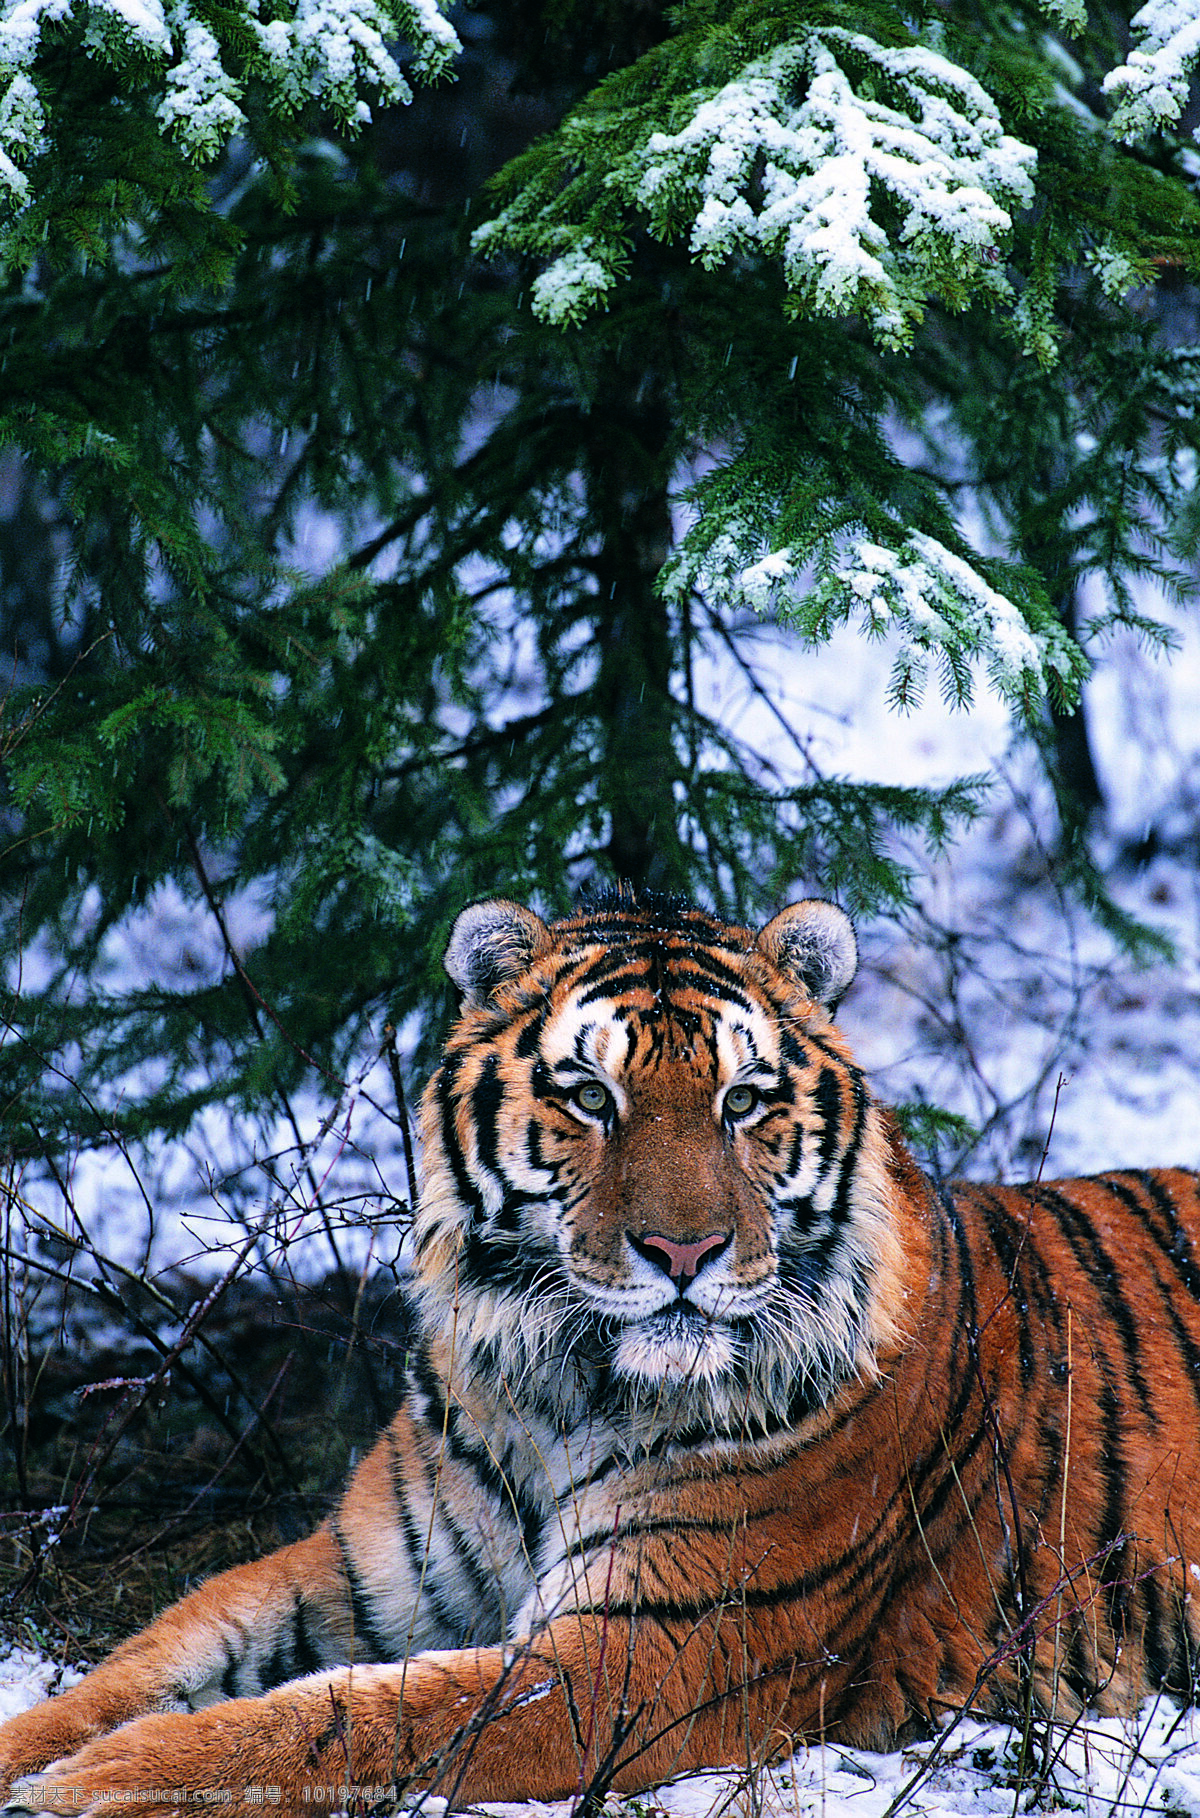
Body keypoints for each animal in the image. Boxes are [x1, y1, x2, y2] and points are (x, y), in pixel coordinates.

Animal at [2, 898, 1200, 1818]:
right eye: (590, 1097)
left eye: (742, 1101)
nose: (684, 1251)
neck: (558, 1390)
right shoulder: (355, 1574)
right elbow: (146, 1661)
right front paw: (42, 1750)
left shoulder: (650, 1652)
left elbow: (354, 1718)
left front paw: (93, 1784)